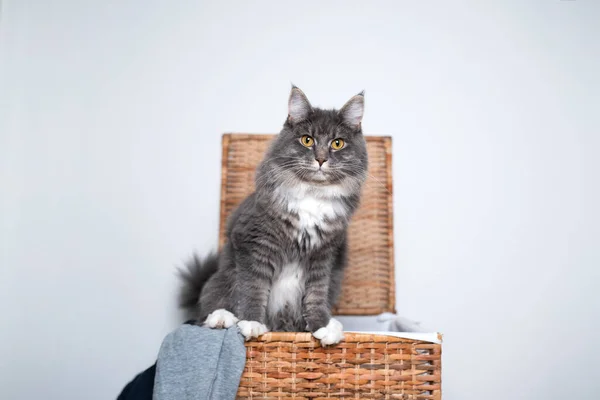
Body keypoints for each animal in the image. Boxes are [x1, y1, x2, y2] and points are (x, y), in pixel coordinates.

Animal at [176, 86, 368, 346]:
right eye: (307, 140)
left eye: (337, 143)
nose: (320, 159)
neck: (312, 195)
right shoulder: (254, 243)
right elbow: (253, 288)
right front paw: (252, 323)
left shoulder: (324, 255)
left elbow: (316, 294)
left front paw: (322, 326)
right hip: (224, 276)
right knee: (210, 303)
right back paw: (222, 318)